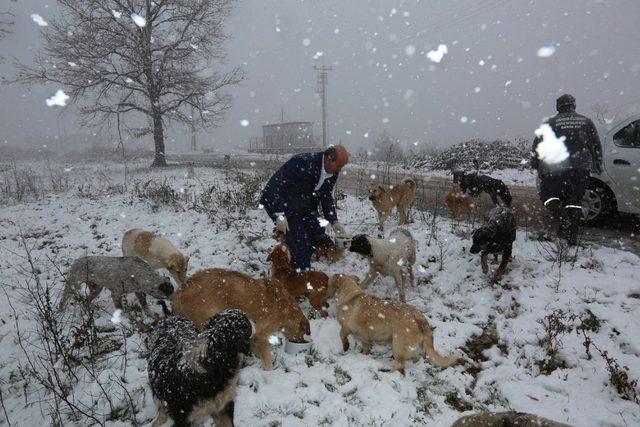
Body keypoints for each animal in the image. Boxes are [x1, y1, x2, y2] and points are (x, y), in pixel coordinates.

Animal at [170, 268, 310, 372]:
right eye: (303, 333)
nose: (303, 342)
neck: (288, 310)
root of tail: (180, 292)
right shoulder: (262, 336)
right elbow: (267, 360)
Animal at [328, 274, 458, 374]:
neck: (351, 295)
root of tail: (418, 316)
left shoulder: (346, 327)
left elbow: (342, 335)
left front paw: (345, 347)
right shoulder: (365, 338)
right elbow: (366, 348)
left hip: (397, 346)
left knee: (400, 365)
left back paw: (388, 372)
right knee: (414, 359)